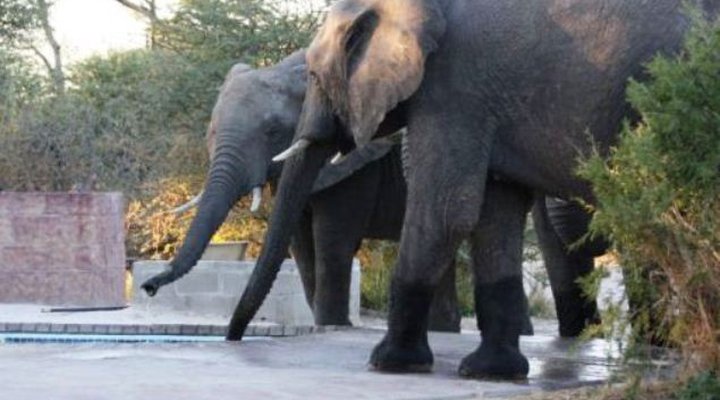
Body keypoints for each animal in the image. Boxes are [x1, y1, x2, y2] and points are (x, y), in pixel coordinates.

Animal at [226, 0, 717, 380]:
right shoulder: (486, 102)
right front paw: (489, 372)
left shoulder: (455, 86)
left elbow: (446, 212)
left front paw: (389, 363)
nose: (235, 338)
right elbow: (494, 214)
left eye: (311, 76)